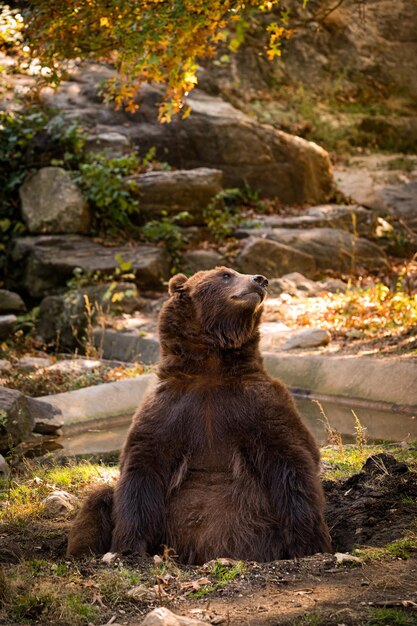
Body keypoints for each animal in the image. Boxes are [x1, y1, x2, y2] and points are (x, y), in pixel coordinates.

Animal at [66, 266, 330, 560]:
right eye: (225, 275)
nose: (260, 280)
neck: (211, 366)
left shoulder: (260, 405)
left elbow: (292, 459)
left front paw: (308, 543)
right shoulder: (169, 409)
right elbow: (141, 469)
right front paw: (129, 546)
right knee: (98, 497)